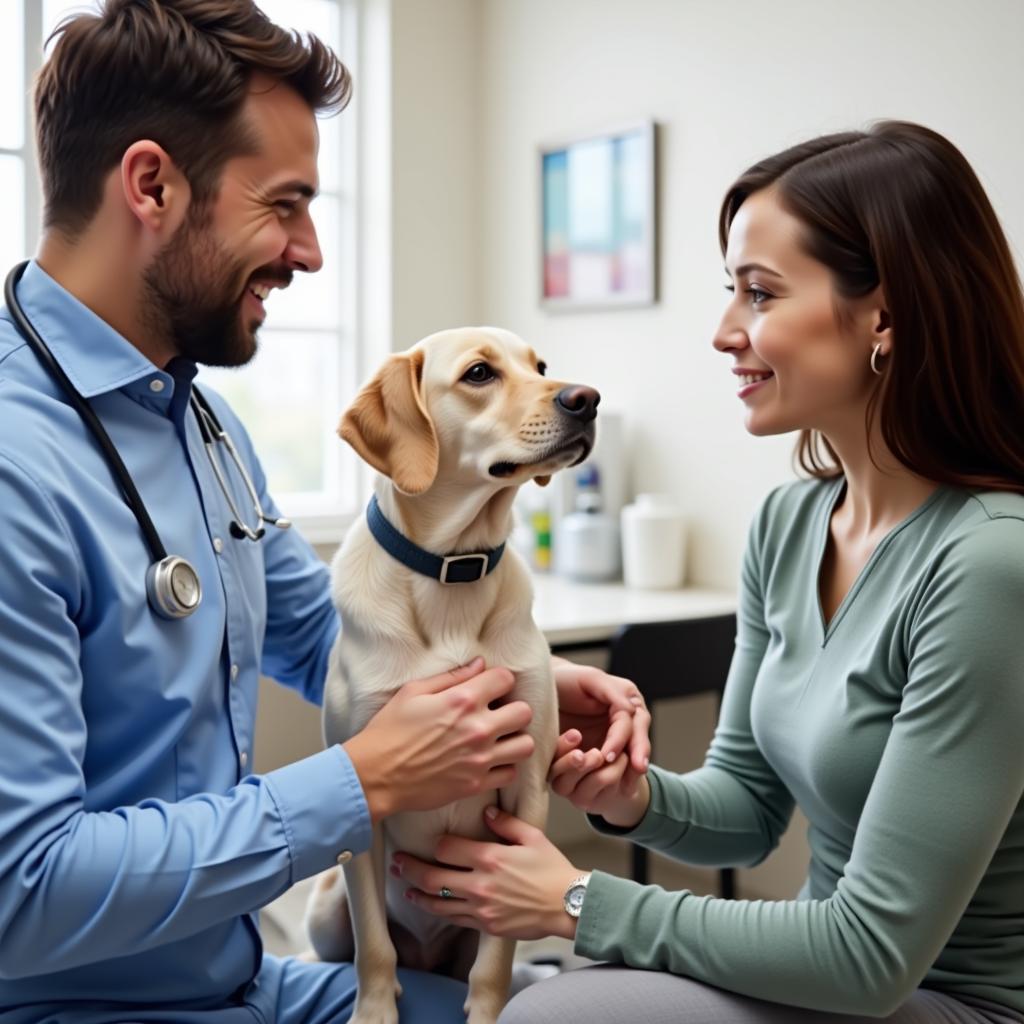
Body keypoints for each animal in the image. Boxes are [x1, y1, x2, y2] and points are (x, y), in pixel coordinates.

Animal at [307, 325, 598, 1015]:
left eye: (540, 366)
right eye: (478, 374)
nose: (588, 398)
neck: (452, 572)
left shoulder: (526, 788)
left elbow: (494, 961)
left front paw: (487, 1013)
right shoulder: (364, 797)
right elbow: (374, 949)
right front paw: (374, 1012)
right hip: (325, 902)